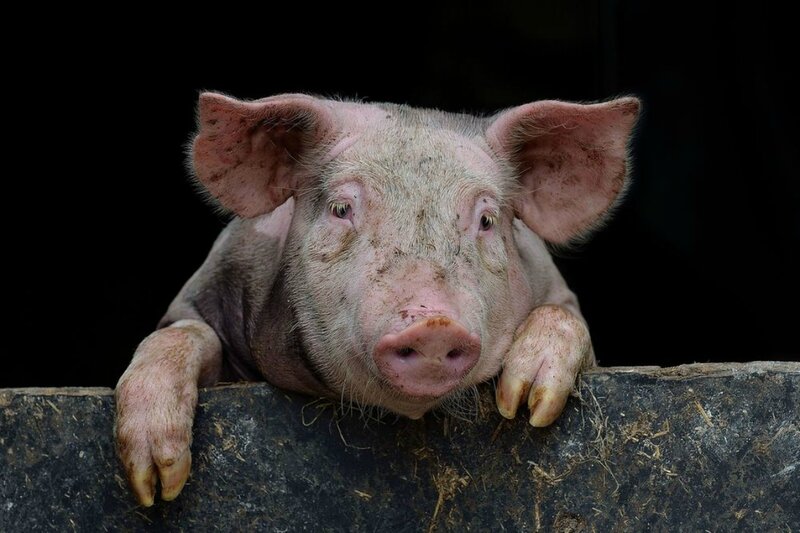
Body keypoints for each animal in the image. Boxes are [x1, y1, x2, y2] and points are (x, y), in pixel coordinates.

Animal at [115, 92, 640, 506]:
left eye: (487, 220)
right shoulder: (199, 295)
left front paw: (527, 405)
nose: (432, 323)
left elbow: (564, 321)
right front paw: (154, 488)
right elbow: (182, 333)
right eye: (341, 209)